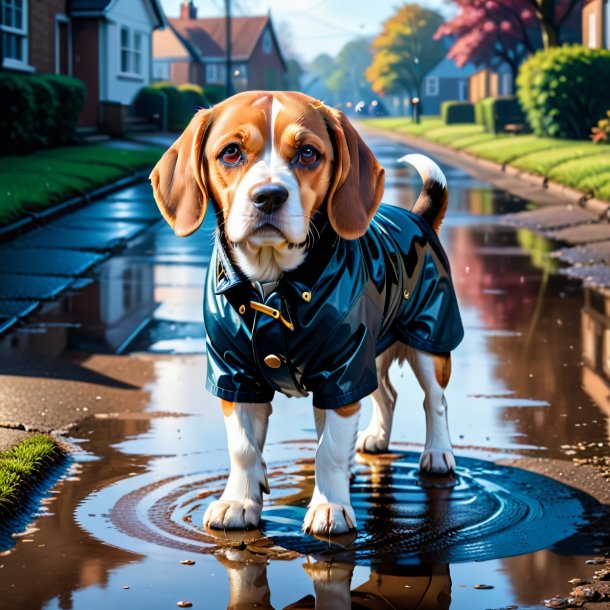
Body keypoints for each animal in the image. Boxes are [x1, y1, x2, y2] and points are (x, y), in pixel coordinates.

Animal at [151, 89, 460, 532]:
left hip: (428, 340)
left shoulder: (341, 372)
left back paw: (437, 453)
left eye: (309, 154)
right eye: (231, 152)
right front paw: (239, 501)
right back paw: (374, 441)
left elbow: (328, 449)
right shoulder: (235, 373)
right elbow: (243, 447)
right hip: (373, 354)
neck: (273, 287)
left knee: (434, 401)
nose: (268, 195)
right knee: (387, 395)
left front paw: (330, 506)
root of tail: (418, 216)